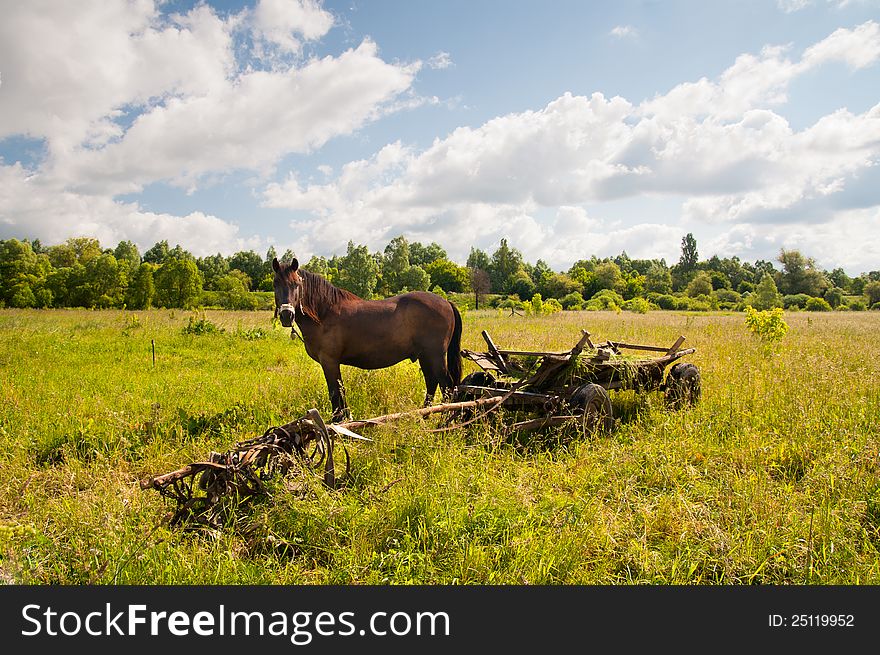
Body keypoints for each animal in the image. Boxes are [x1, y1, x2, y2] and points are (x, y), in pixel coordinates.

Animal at [272, 256, 464, 420]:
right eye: (275, 284)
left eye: (296, 284)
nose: (287, 315)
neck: (324, 313)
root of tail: (446, 302)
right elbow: (340, 392)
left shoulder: (329, 362)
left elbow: (335, 393)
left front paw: (337, 422)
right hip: (425, 357)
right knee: (432, 383)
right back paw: (423, 416)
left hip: (435, 356)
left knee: (446, 386)